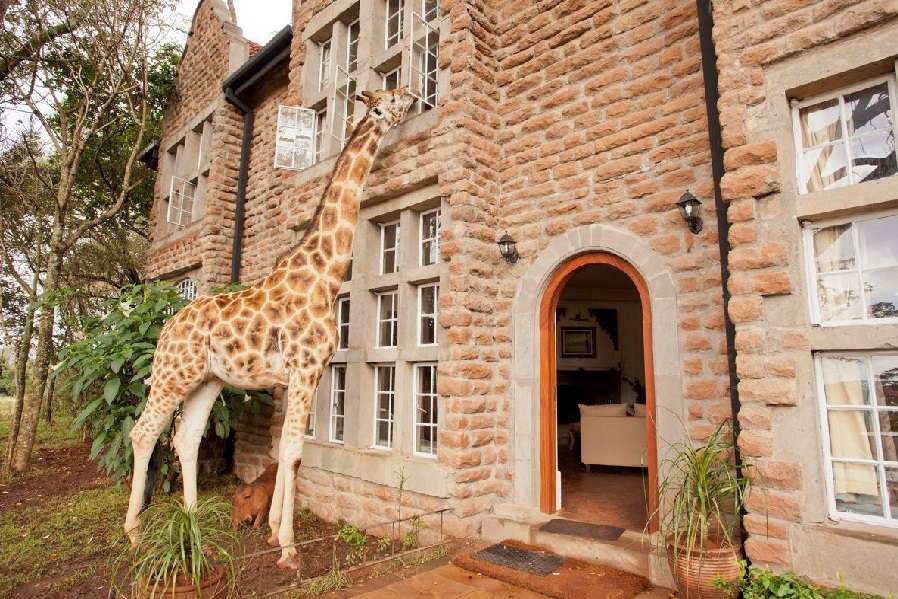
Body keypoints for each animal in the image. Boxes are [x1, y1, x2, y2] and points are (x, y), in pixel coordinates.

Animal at [125, 88, 417, 570]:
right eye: (388, 100)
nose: (413, 95)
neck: (324, 274)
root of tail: (165, 329)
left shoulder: (305, 375)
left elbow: (286, 450)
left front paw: (273, 531)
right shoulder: (304, 369)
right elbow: (295, 453)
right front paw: (289, 547)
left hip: (208, 380)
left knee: (186, 437)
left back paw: (194, 528)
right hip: (172, 375)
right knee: (144, 431)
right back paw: (132, 532)